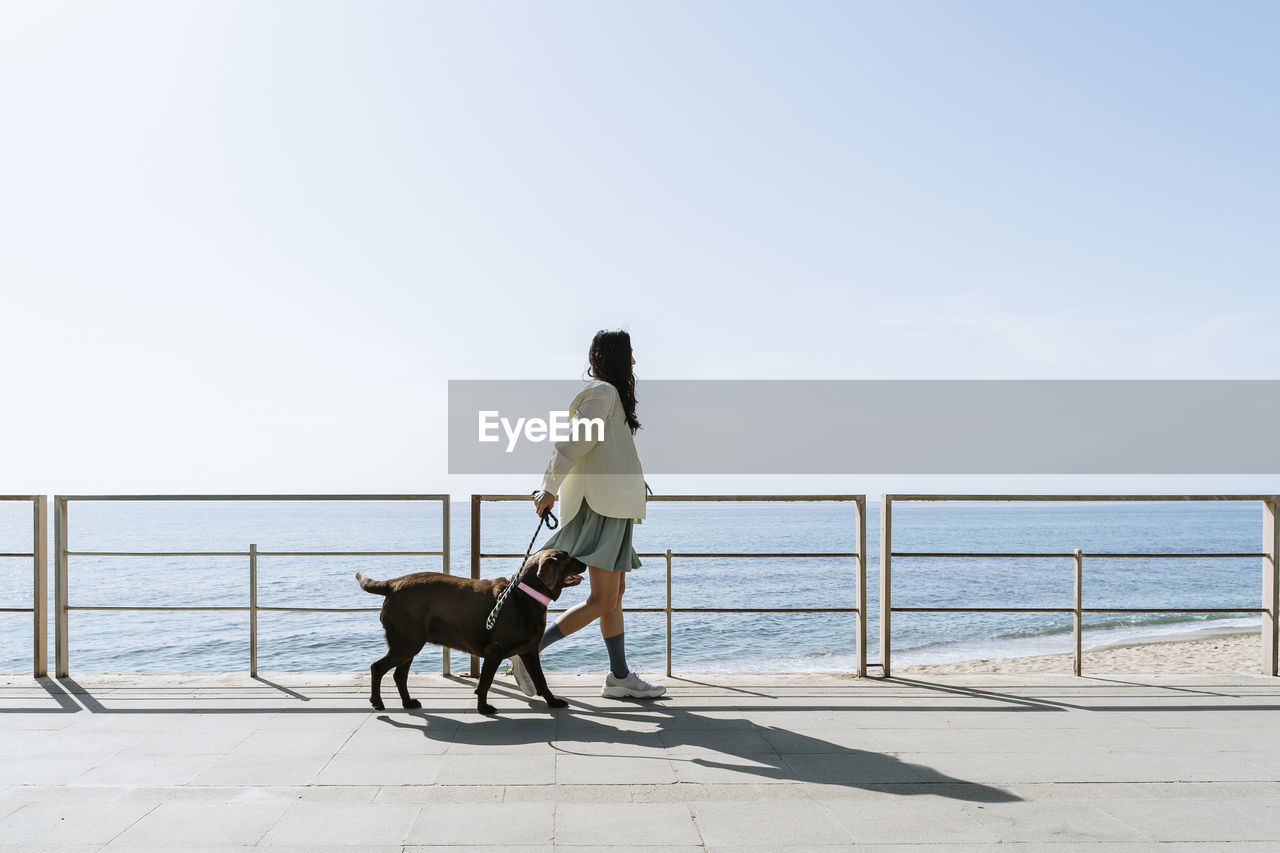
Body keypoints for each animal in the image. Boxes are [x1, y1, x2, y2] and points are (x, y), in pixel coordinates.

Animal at [355, 545, 586, 712]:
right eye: (567, 557)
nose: (585, 562)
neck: (524, 594)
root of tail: (393, 584)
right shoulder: (495, 652)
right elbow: (485, 682)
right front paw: (483, 708)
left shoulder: (529, 652)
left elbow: (541, 680)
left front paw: (553, 702)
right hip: (406, 643)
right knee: (377, 668)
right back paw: (377, 702)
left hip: (409, 645)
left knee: (399, 675)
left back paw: (408, 702)